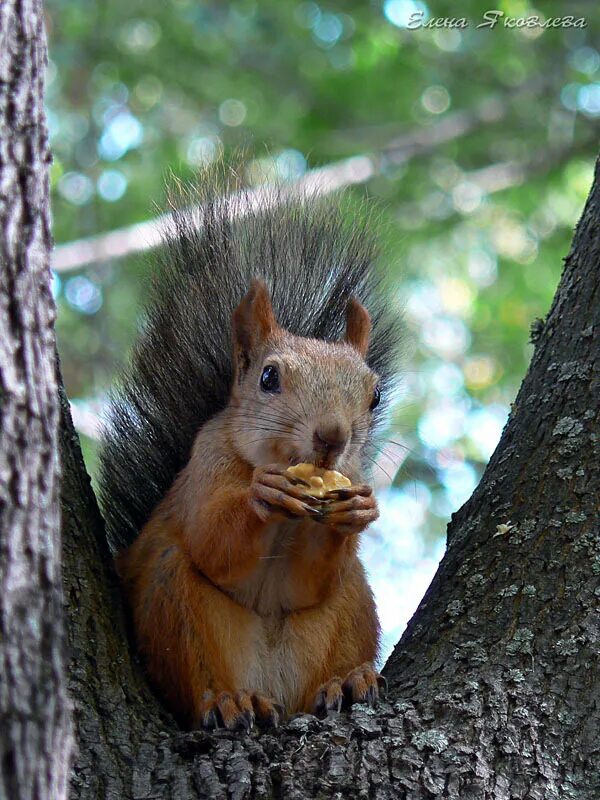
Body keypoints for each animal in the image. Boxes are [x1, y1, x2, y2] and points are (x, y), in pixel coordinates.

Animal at [98, 169, 400, 732]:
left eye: (374, 395)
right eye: (268, 377)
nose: (332, 437)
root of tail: (270, 688)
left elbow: (309, 583)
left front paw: (358, 509)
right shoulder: (205, 466)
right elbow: (212, 542)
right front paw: (263, 495)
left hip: (349, 607)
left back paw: (346, 681)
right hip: (174, 606)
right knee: (196, 662)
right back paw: (229, 700)